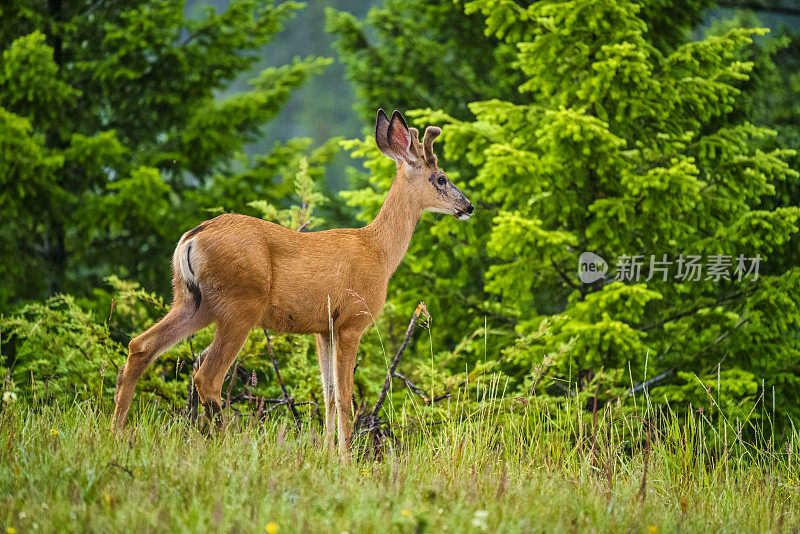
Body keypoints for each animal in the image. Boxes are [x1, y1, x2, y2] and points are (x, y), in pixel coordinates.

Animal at [112, 110, 476, 460]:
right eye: (440, 178)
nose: (468, 206)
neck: (379, 251)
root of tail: (191, 237)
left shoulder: (324, 328)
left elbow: (328, 395)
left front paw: (328, 454)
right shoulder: (351, 321)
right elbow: (345, 397)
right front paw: (347, 459)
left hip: (192, 300)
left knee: (141, 345)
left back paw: (116, 430)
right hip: (239, 305)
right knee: (207, 375)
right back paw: (223, 443)